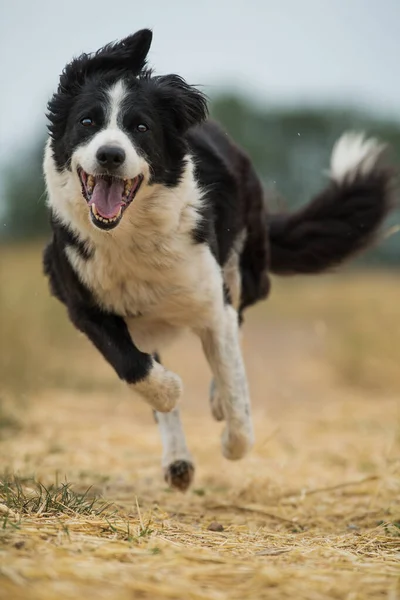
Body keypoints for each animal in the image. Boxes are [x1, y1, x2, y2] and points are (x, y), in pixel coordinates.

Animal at [42, 28, 392, 490]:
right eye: (87, 122)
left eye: (140, 127)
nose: (110, 155)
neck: (130, 233)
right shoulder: (80, 301)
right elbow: (134, 366)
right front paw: (169, 392)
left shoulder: (212, 302)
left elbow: (235, 390)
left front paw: (231, 433)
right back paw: (177, 458)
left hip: (247, 269)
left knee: (237, 323)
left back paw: (215, 402)